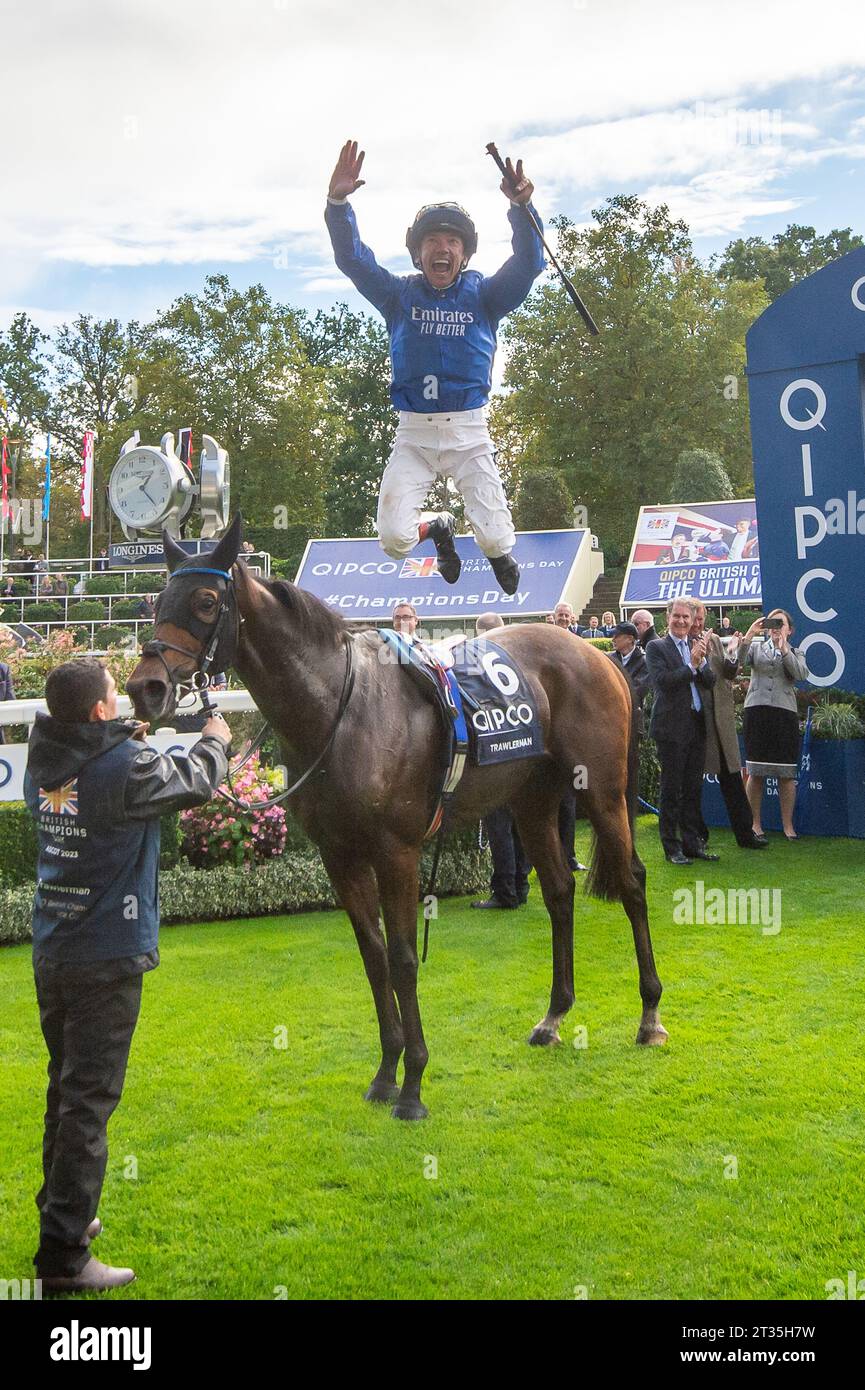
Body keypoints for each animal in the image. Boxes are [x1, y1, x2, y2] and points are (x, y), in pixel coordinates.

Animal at [128, 519, 667, 1117]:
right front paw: (386, 1072)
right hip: (532, 800)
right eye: (158, 600)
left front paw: (413, 1085)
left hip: (603, 791)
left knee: (632, 882)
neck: (338, 712)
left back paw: (650, 1015)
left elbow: (405, 959)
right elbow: (374, 955)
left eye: (204, 601)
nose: (144, 686)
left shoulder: (397, 853)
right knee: (557, 892)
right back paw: (553, 1015)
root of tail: (598, 656)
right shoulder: (340, 856)